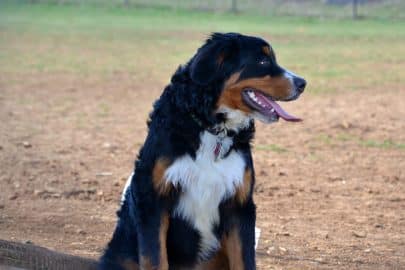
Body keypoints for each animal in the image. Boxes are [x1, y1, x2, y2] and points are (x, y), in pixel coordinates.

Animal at [99, 33, 304, 270]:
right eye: (262, 61)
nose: (302, 83)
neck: (212, 128)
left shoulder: (239, 205)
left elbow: (245, 261)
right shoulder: (152, 199)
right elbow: (155, 258)